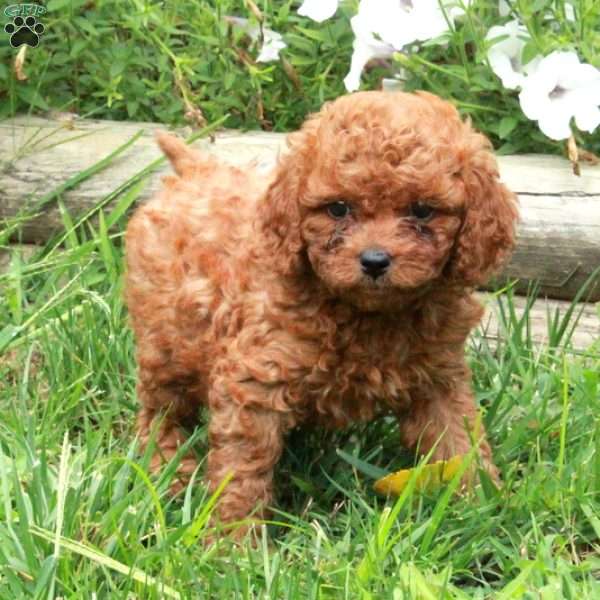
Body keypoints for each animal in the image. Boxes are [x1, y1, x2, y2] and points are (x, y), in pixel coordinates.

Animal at [124, 92, 516, 536]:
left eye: (422, 210)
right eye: (338, 209)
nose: (375, 260)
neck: (366, 314)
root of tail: (196, 170)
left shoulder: (439, 375)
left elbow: (458, 438)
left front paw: (480, 505)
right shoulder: (254, 380)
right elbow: (243, 465)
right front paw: (234, 537)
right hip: (165, 343)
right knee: (160, 409)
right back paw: (168, 466)